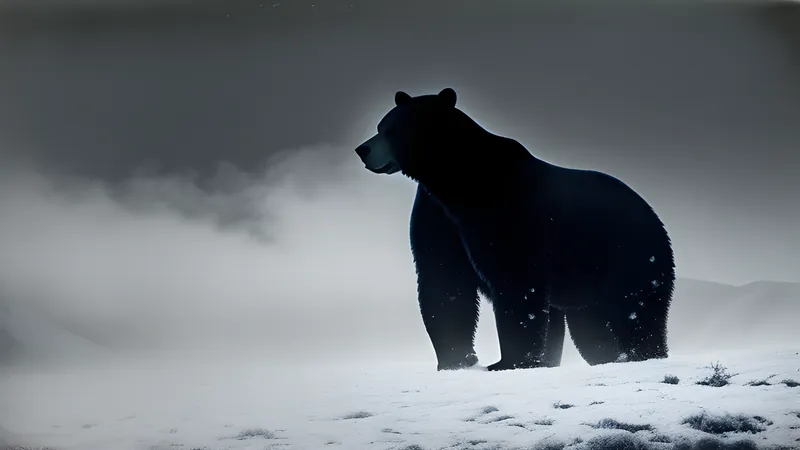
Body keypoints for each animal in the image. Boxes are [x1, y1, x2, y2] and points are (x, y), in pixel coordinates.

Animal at [354, 88, 676, 371]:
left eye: (393, 129)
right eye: (380, 125)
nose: (362, 149)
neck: (456, 182)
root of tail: (653, 214)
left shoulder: (509, 211)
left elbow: (516, 277)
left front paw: (509, 361)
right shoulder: (435, 214)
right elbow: (443, 280)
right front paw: (455, 360)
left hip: (625, 254)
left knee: (634, 309)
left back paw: (642, 355)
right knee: (593, 329)